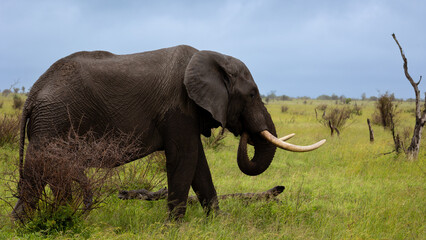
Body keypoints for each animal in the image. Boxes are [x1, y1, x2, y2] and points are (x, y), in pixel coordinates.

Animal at [13, 44, 326, 220]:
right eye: (251, 95)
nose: (245, 131)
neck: (210, 59)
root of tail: (33, 93)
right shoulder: (178, 107)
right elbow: (184, 159)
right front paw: (175, 226)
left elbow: (199, 164)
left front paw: (219, 220)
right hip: (52, 121)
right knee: (41, 172)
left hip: (49, 121)